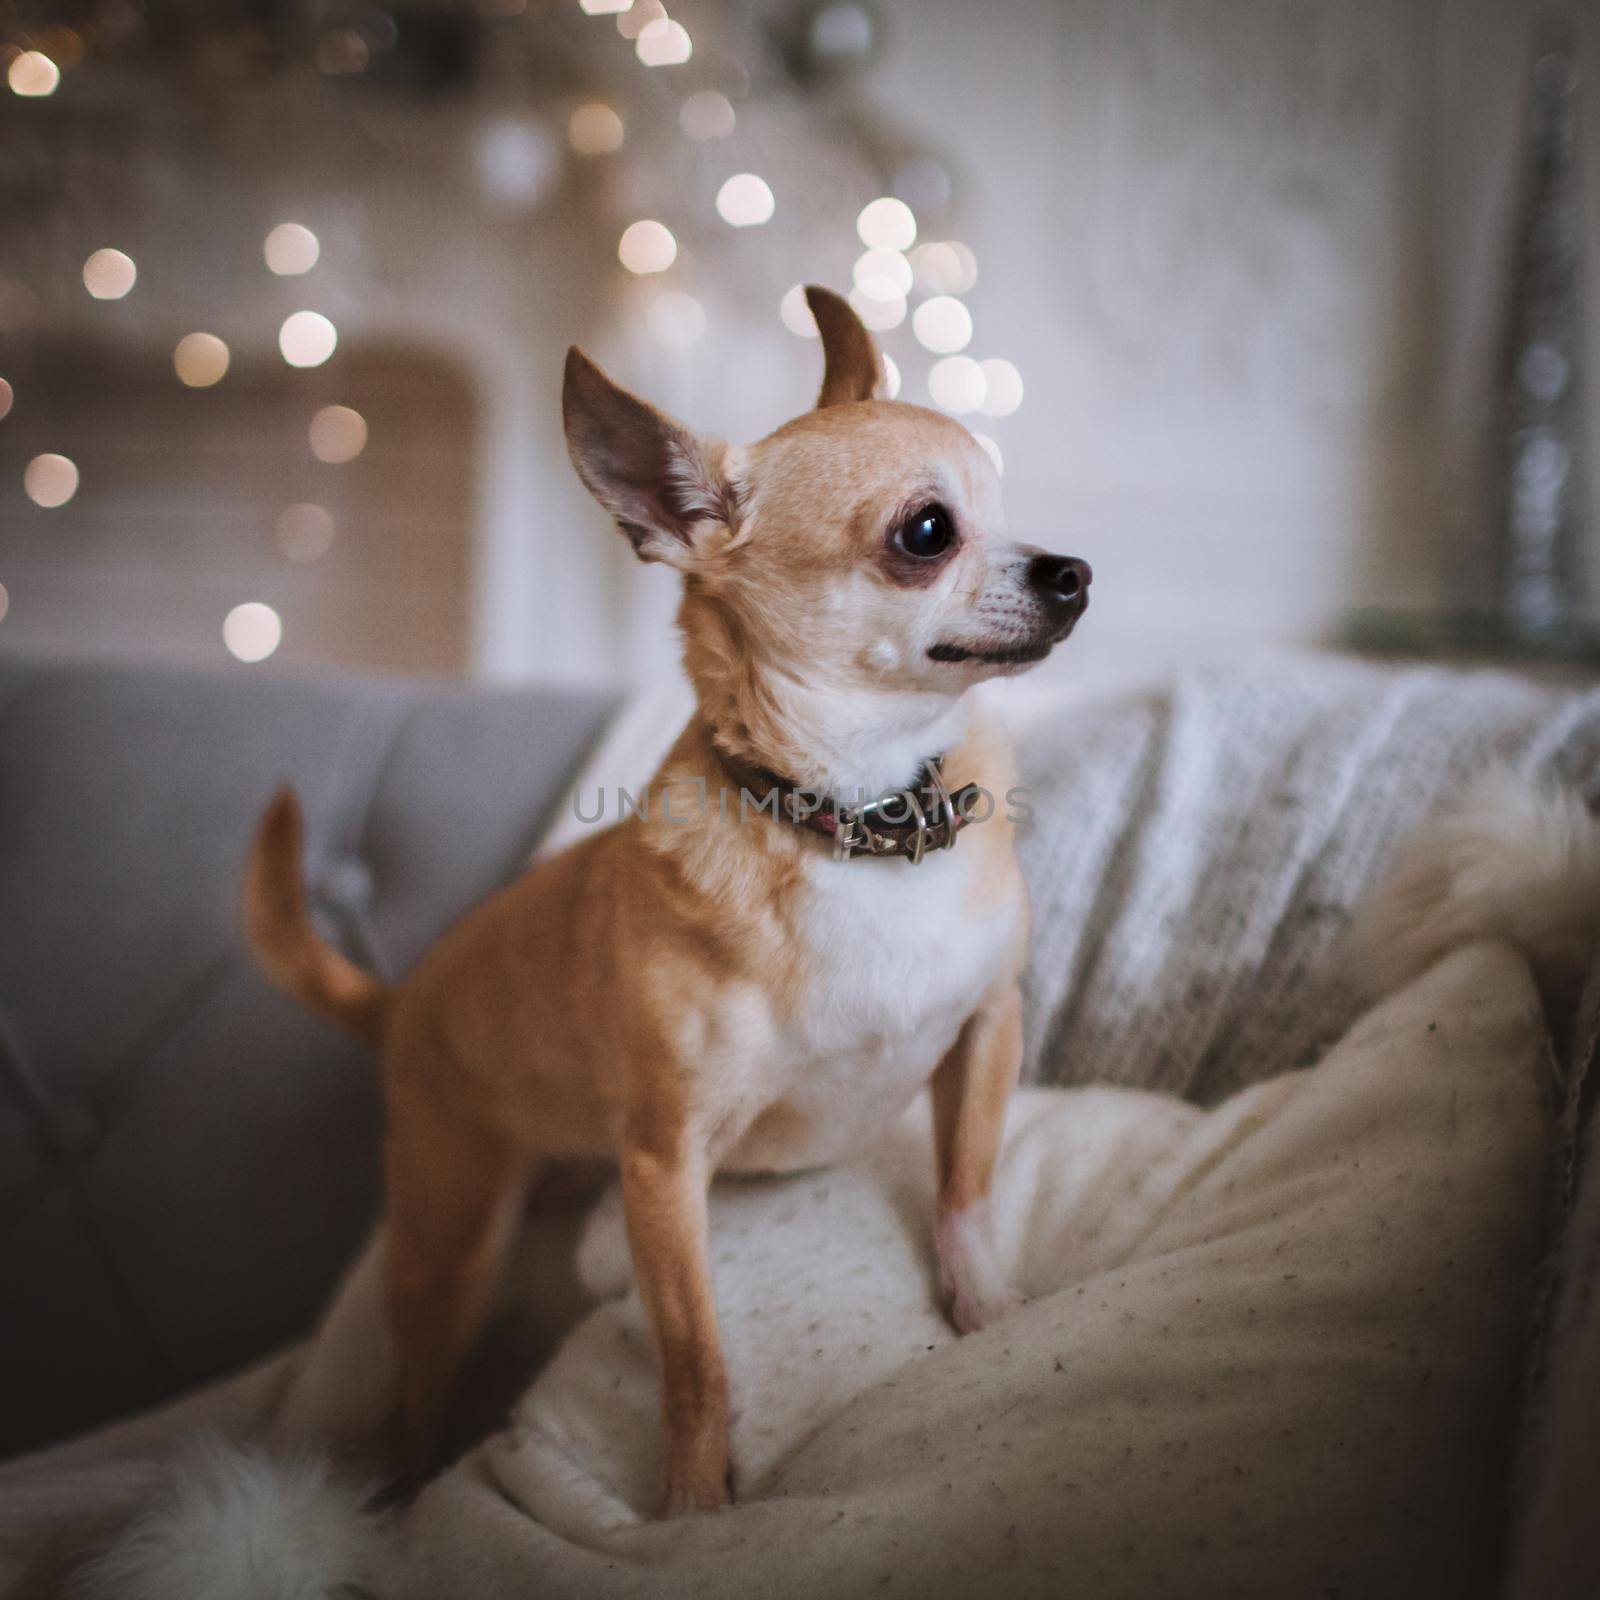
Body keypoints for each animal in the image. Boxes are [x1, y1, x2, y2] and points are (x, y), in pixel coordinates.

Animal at [243, 284, 1094, 1510]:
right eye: (927, 533)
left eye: (1006, 499)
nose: (1072, 569)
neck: (856, 821)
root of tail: (400, 1001)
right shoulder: (662, 1167)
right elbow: (696, 1355)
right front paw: (694, 1504)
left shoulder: (988, 1027)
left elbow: (964, 1189)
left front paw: (985, 1311)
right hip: (451, 1245)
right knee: (414, 1402)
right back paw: (403, 1488)